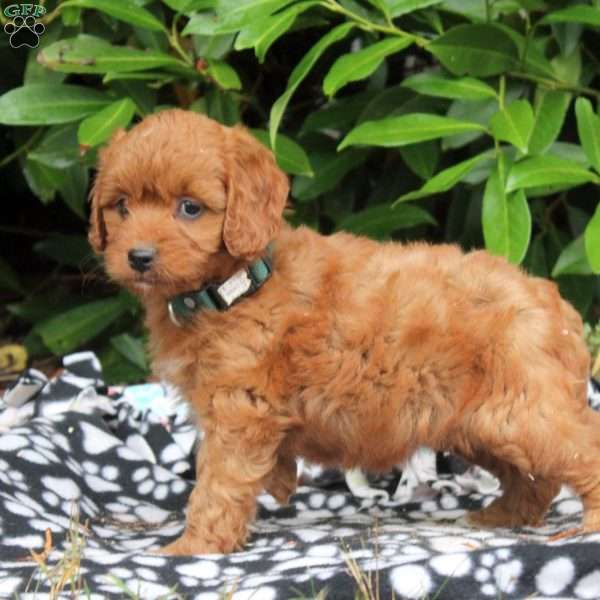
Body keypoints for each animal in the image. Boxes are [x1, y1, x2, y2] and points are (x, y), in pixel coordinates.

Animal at [89, 110, 596, 556]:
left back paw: (583, 528)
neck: (238, 285)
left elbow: (217, 485)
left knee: (578, 450)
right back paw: (499, 516)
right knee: (535, 478)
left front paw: (190, 548)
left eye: (190, 208)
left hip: (524, 412)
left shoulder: (239, 413)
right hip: (482, 424)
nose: (138, 257)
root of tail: (557, 305)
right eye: (121, 206)